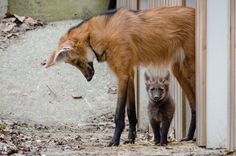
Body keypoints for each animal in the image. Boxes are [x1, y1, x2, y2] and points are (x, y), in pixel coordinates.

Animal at [45, 7, 196, 146]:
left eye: (76, 62)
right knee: (193, 103)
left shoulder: (122, 76)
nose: (88, 78)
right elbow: (131, 112)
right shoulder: (130, 74)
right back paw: (189, 136)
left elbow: (119, 114)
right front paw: (130, 139)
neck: (101, 34)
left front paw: (114, 141)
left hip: (189, 68)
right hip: (178, 71)